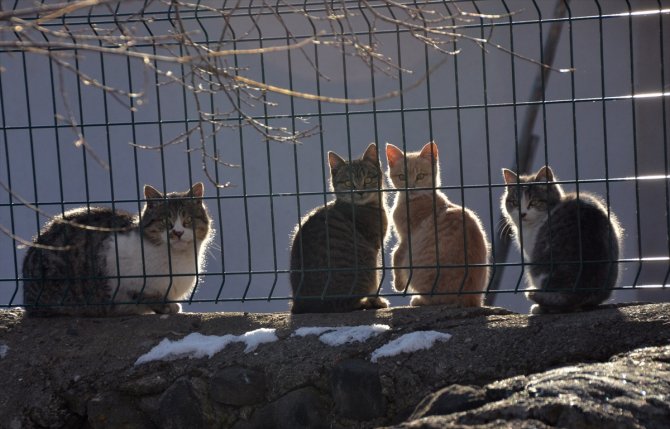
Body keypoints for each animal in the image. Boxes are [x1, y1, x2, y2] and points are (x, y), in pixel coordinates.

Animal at [23, 182, 213, 316]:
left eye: (188, 220)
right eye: (166, 221)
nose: (178, 232)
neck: (178, 261)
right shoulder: (122, 272)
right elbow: (144, 295)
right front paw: (166, 306)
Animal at [290, 142, 394, 312]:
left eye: (368, 179)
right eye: (348, 183)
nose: (360, 192)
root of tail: (300, 304)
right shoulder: (374, 248)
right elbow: (375, 284)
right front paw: (375, 299)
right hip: (367, 261)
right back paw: (367, 303)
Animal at [386, 142, 490, 306]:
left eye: (420, 176)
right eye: (402, 177)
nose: (411, 188)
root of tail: (472, 298)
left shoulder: (407, 238)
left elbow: (396, 254)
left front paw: (398, 284)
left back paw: (418, 300)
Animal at [504, 167, 624, 314]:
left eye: (534, 202)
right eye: (515, 203)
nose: (522, 214)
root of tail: (580, 291)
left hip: (538, 270)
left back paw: (539, 308)